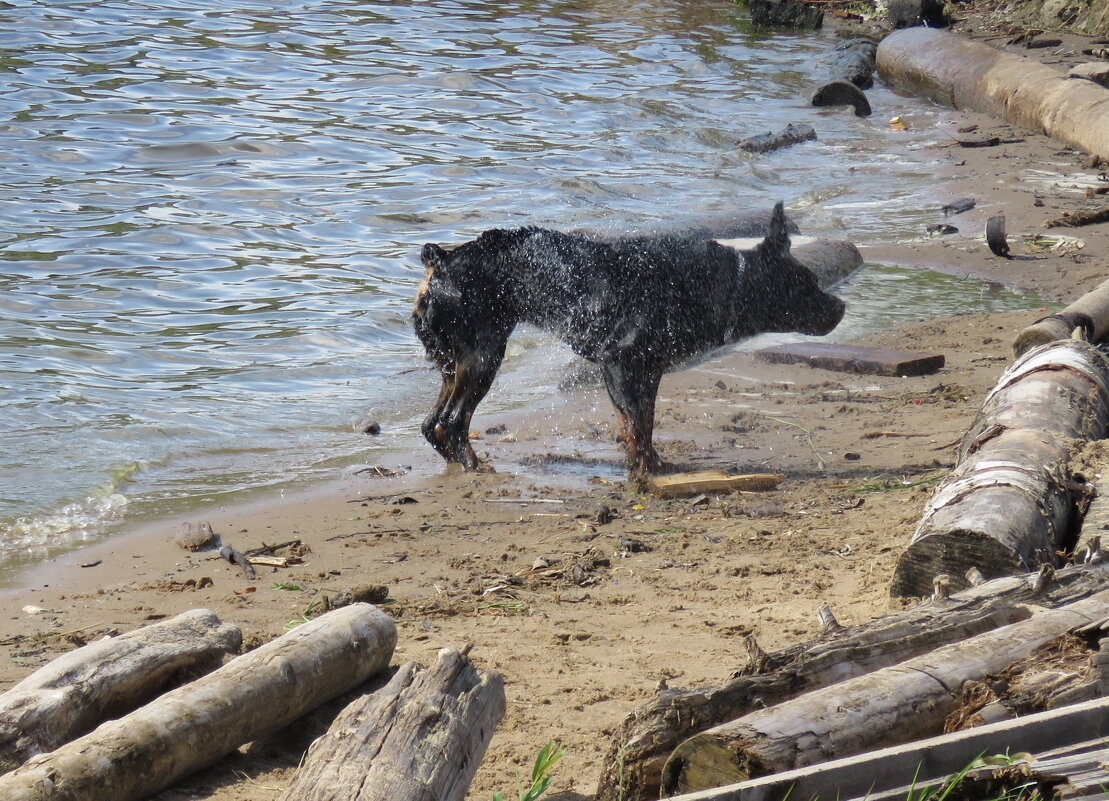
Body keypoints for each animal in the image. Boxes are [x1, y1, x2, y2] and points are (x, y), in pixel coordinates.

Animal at [412, 203, 842, 477]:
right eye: (807, 286)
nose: (840, 307)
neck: (723, 284)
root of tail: (441, 262)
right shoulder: (619, 362)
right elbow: (636, 422)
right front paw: (643, 470)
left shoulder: (648, 370)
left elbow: (643, 422)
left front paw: (653, 464)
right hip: (484, 355)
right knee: (452, 421)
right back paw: (475, 467)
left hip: (455, 361)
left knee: (432, 423)